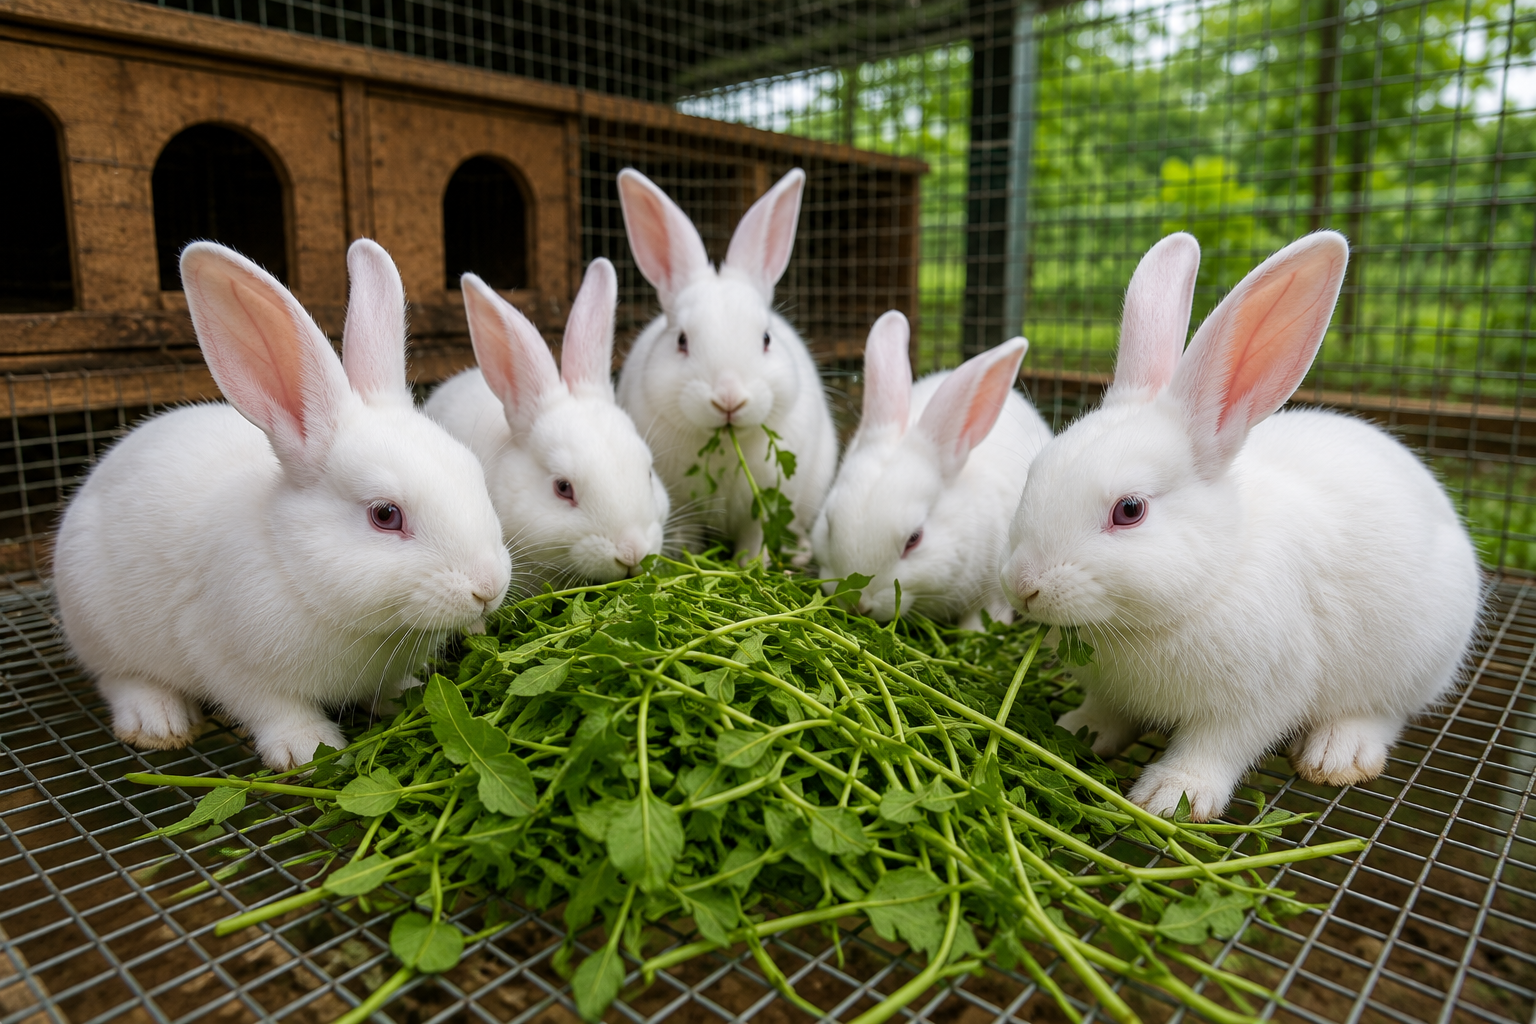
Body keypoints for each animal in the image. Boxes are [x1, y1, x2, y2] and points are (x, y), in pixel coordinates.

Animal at [53, 240, 512, 771]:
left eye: (473, 473)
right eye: (385, 515)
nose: (488, 587)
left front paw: (406, 696)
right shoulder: (225, 657)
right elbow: (272, 707)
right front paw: (307, 749)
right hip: (95, 619)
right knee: (118, 676)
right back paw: (159, 723)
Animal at [613, 167, 837, 563]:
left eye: (766, 339)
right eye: (681, 341)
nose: (729, 399)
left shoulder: (766, 505)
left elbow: (756, 538)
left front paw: (752, 564)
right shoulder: (682, 502)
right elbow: (687, 535)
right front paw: (682, 559)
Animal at [999, 231, 1480, 822]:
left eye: (1129, 510)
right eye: (1034, 471)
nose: (1023, 586)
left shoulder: (1257, 697)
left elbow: (1217, 747)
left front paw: (1171, 797)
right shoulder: (1111, 692)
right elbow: (1105, 714)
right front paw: (1075, 730)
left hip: (1414, 657)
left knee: (1383, 710)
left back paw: (1336, 755)